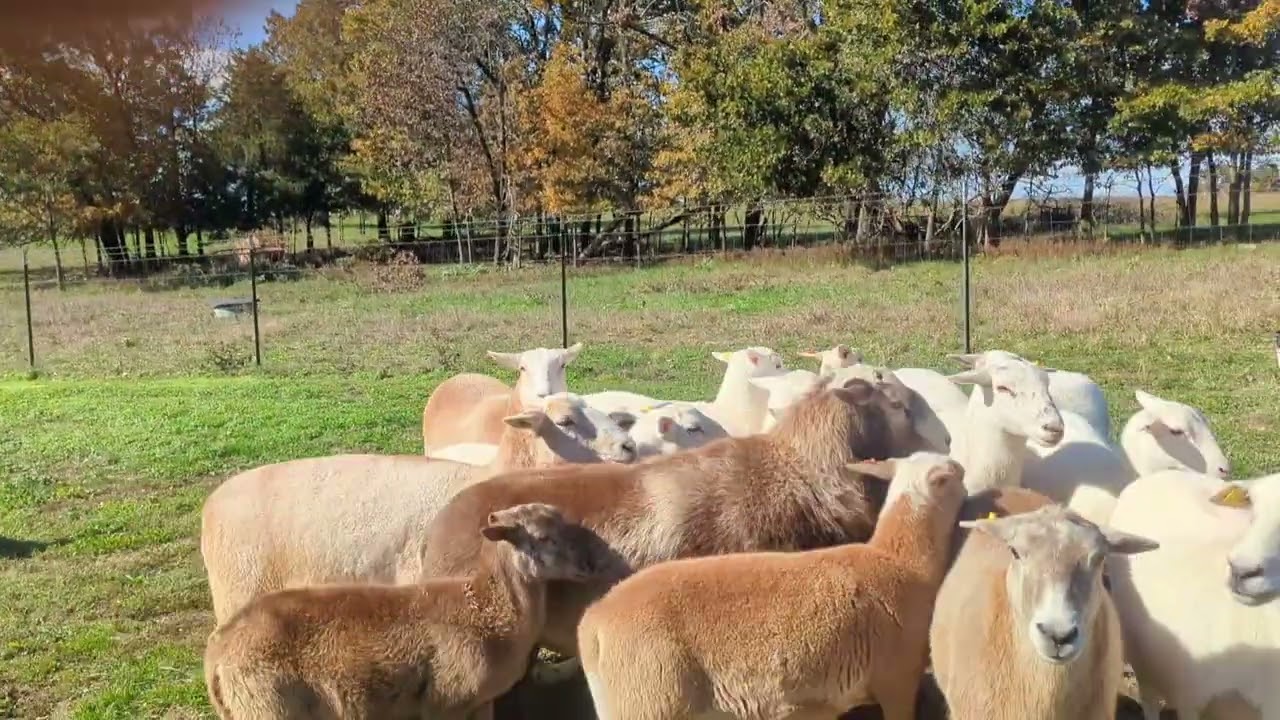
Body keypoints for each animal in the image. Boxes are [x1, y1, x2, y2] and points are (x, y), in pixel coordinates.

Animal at [204, 502, 617, 720]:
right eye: (544, 537)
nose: (590, 564)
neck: (487, 610)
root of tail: (217, 656)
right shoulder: (447, 701)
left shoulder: (480, 701)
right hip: (268, 707)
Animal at [577, 451, 968, 720]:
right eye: (954, 474)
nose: (965, 471)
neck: (899, 558)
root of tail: (593, 622)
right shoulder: (897, 678)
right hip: (649, 699)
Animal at [1106, 470, 1280, 720]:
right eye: (1253, 511)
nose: (1240, 569)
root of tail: (1158, 474)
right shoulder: (1193, 700)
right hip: (1141, 652)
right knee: (1149, 697)